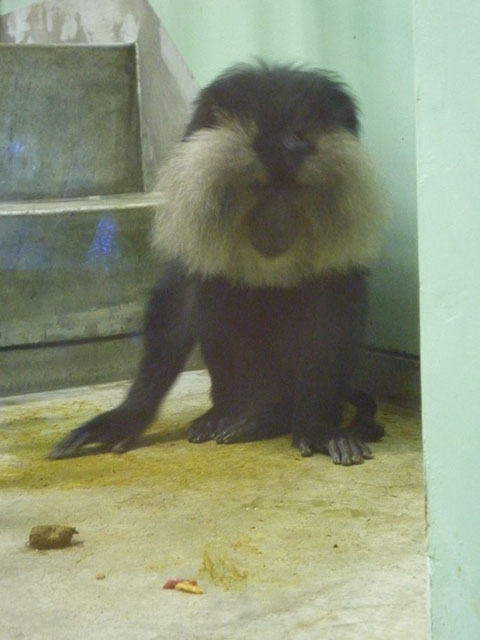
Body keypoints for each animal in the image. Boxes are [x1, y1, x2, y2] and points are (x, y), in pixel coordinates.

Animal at [48, 62, 386, 465]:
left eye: (293, 190)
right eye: (261, 187)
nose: (276, 225)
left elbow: (334, 296)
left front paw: (316, 428)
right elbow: (183, 293)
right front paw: (127, 417)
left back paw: (267, 417)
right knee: (215, 290)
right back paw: (227, 414)